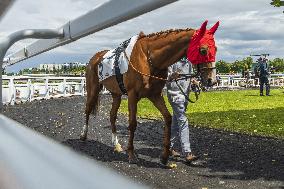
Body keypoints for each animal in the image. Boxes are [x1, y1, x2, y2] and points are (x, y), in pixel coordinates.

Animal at [81, 20, 219, 165]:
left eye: (215, 49)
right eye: (203, 50)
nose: (212, 80)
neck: (148, 58)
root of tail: (95, 58)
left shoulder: (155, 95)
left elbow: (168, 118)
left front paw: (165, 155)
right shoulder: (132, 95)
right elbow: (132, 123)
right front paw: (131, 153)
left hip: (116, 94)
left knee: (112, 115)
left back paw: (116, 144)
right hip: (93, 89)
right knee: (88, 109)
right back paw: (83, 135)